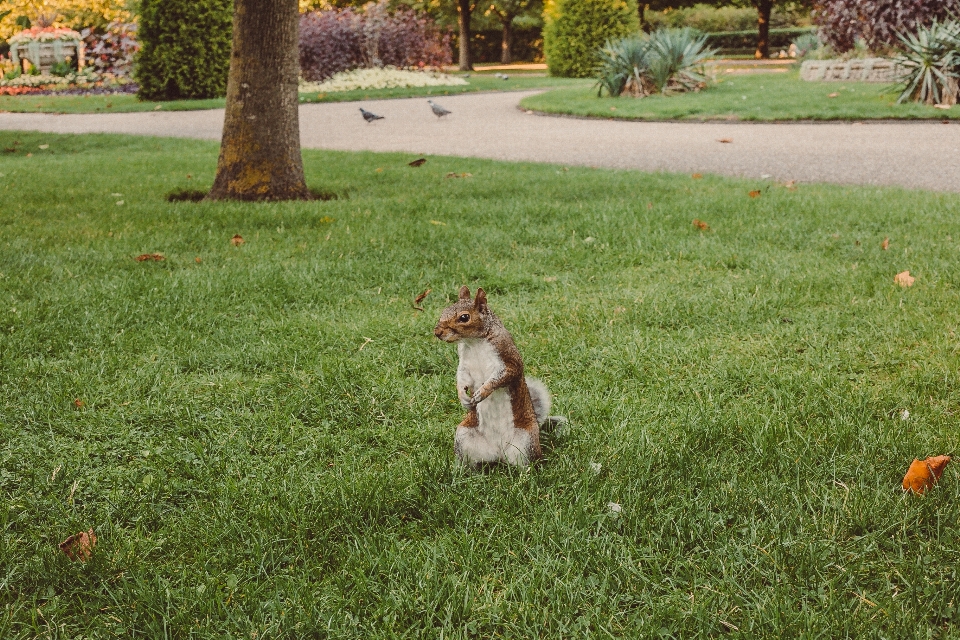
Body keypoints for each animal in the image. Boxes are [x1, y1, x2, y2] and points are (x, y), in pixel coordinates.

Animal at [434, 286, 560, 464]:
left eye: (464, 317)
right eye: (445, 310)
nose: (437, 332)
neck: (474, 342)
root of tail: (498, 453)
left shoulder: (508, 360)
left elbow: (501, 377)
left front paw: (483, 391)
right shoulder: (464, 364)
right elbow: (462, 378)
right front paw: (462, 396)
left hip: (527, 440)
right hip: (463, 435)